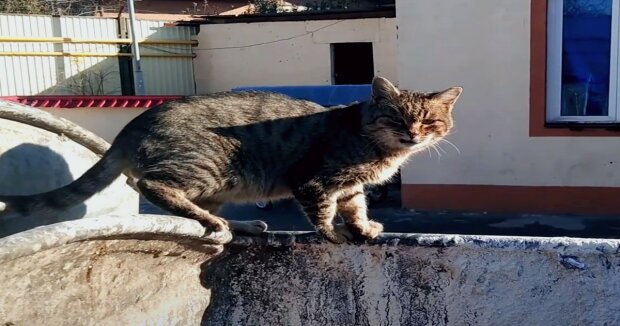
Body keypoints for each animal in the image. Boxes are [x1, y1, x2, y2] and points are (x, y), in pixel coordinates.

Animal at [0, 77, 460, 243]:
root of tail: (133, 124)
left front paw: (364, 227)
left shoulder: (349, 186)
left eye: (429, 121)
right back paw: (216, 222)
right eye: (396, 117)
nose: (412, 134)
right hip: (206, 168)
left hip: (219, 185)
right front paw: (333, 234)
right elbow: (324, 213)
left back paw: (240, 223)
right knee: (149, 186)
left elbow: (356, 206)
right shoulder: (313, 181)